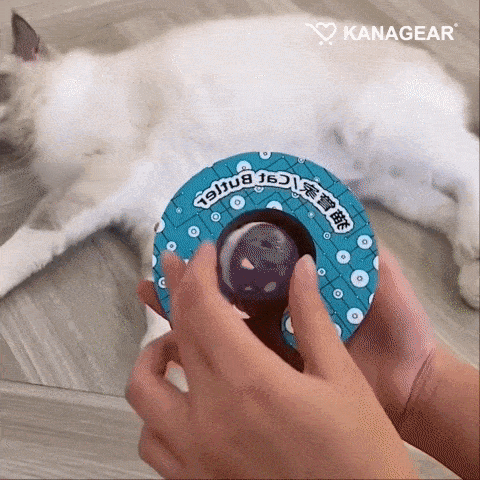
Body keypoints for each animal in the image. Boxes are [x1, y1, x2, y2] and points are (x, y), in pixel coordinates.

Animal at [0, 12, 478, 349]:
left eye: (0, 90)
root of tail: (439, 71)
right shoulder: (152, 209)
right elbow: (163, 290)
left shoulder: (101, 182)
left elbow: (26, 245)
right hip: (389, 186)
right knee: (448, 204)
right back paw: (471, 275)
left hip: (378, 132)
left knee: (469, 163)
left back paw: (472, 250)